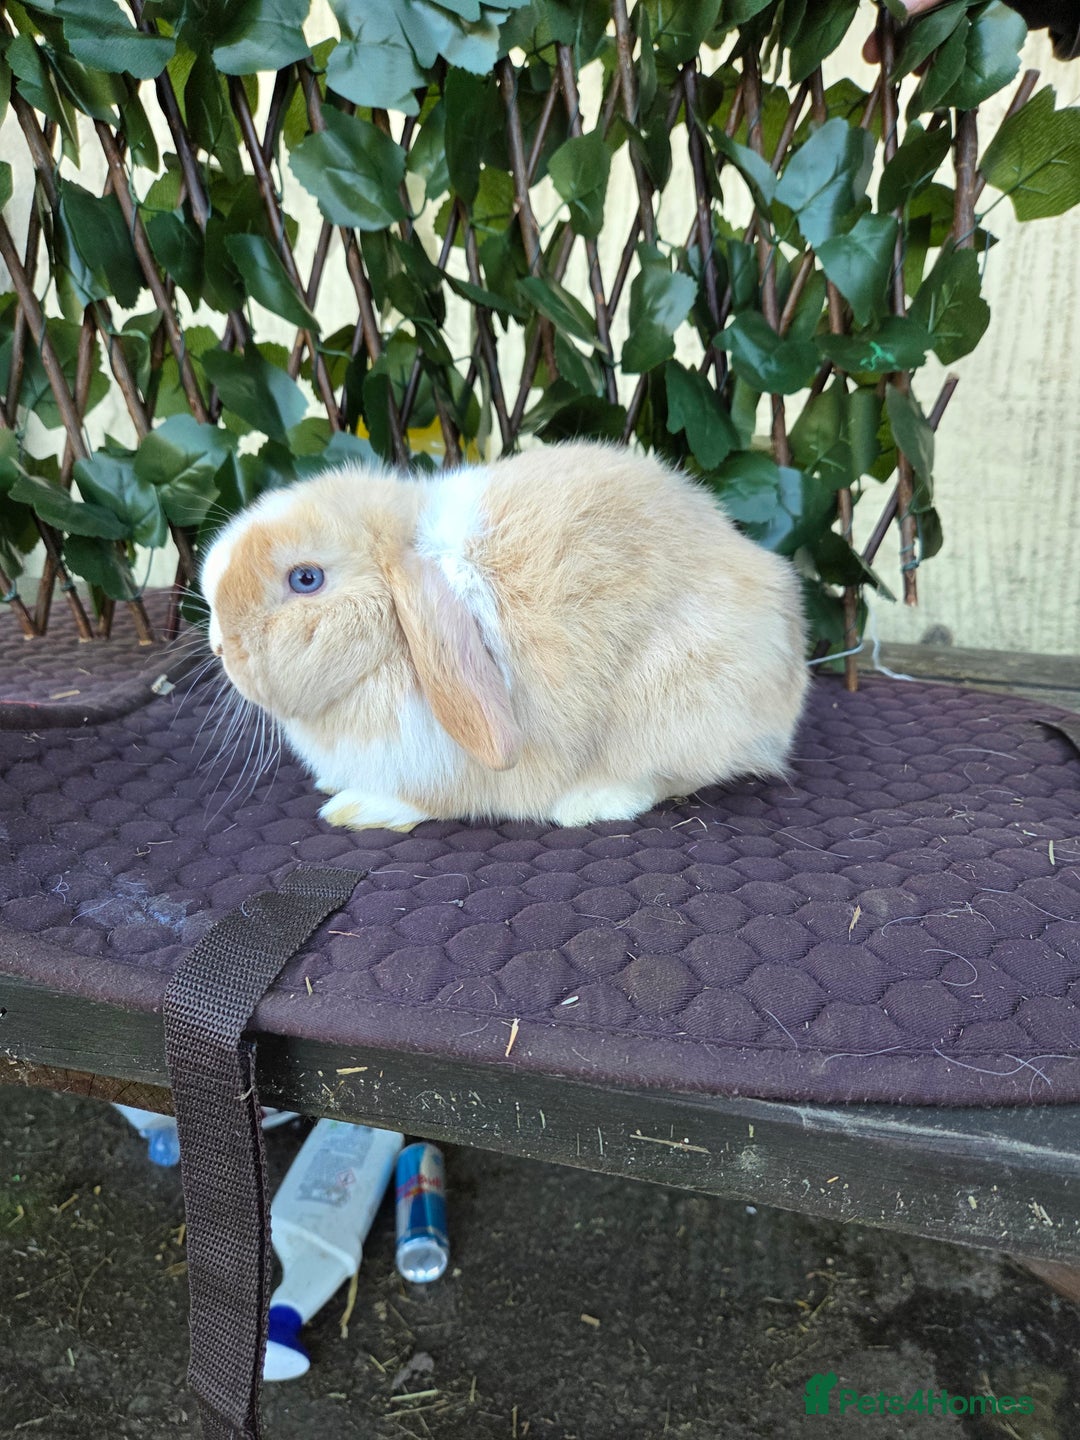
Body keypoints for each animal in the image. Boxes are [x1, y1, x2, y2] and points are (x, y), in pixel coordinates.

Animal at [200, 441, 808, 831]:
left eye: (306, 579)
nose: (219, 646)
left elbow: (424, 801)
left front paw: (356, 809)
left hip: (674, 699)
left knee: (667, 777)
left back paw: (588, 801)